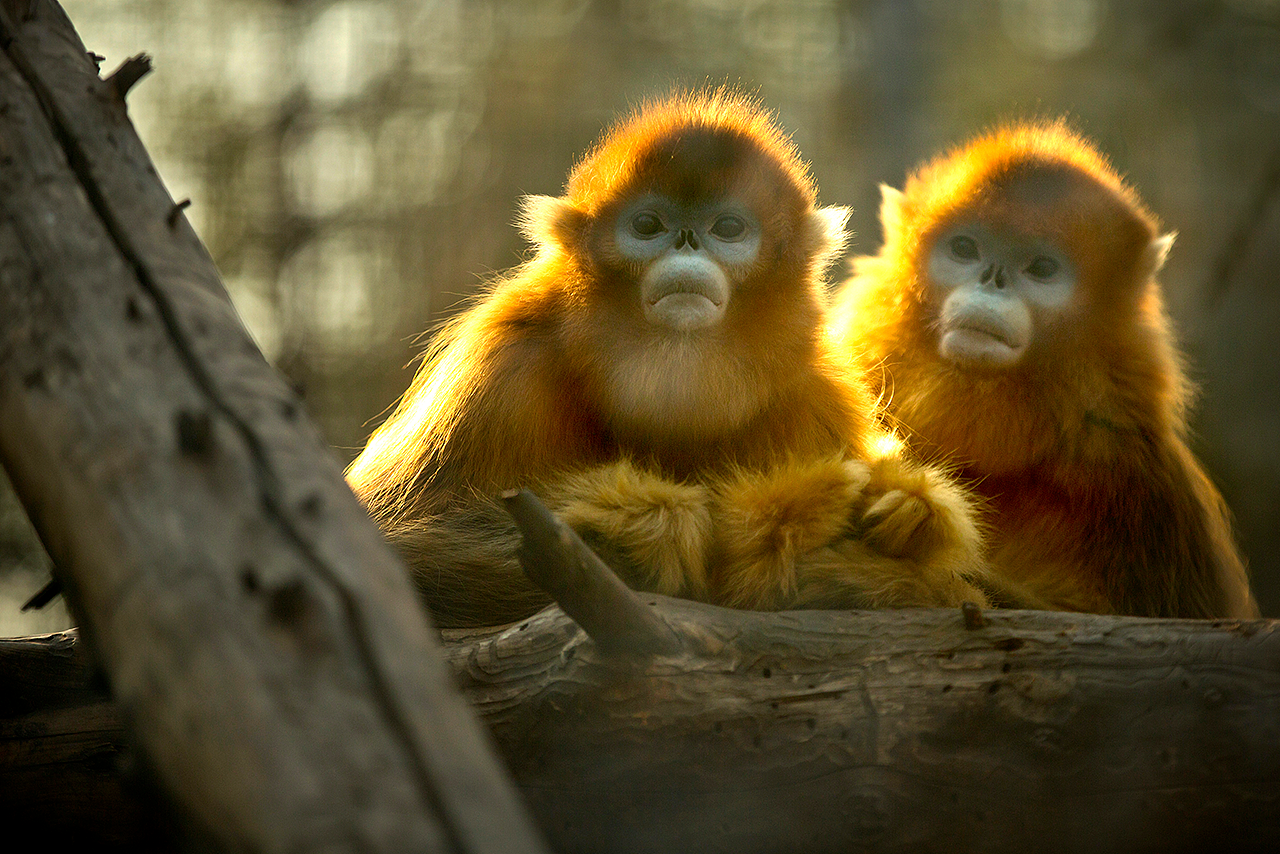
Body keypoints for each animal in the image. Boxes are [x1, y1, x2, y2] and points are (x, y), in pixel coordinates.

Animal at [343, 92, 988, 627]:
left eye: (727, 228)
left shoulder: (811, 396)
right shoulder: (501, 367)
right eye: (649, 225)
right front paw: (664, 529)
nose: (687, 242)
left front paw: (899, 524)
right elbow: (392, 548)